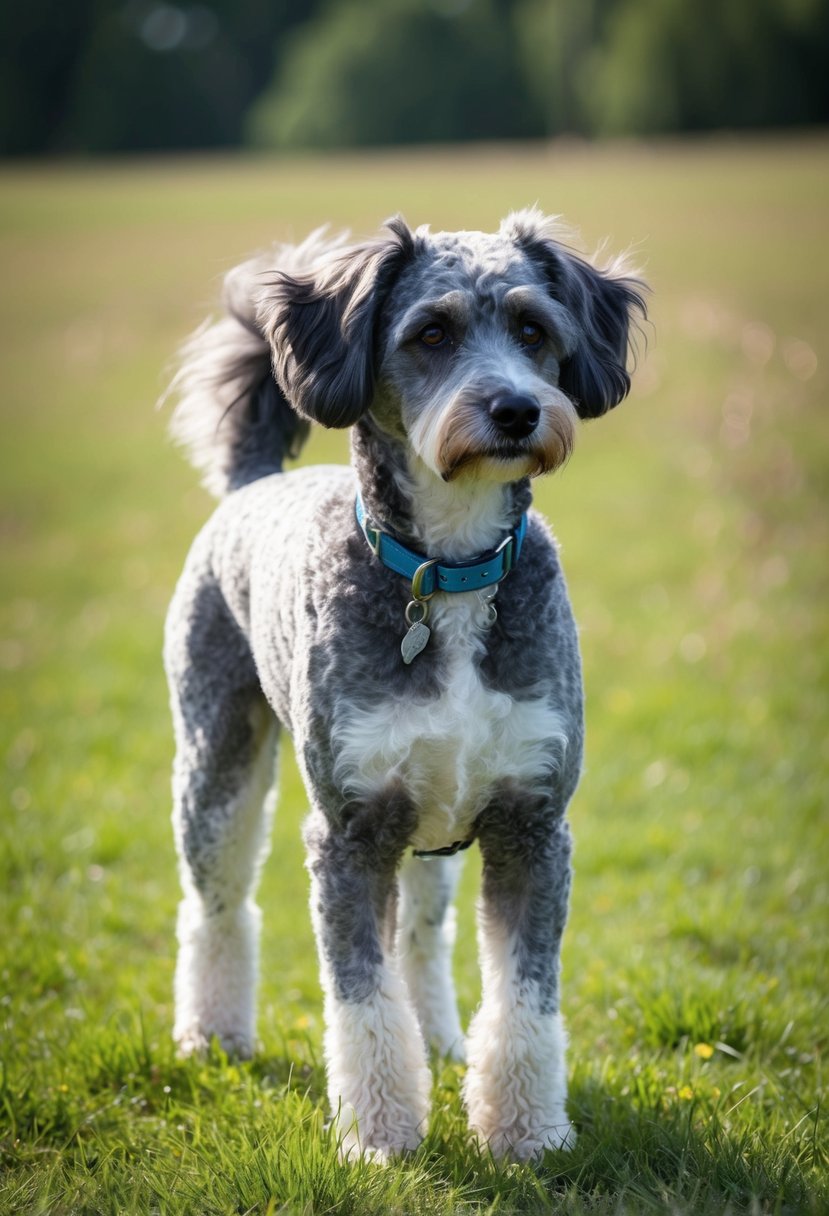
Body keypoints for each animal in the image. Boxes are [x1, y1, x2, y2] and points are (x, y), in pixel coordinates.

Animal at [162, 209, 646, 1157]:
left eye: (533, 330)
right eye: (430, 334)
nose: (516, 409)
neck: (448, 575)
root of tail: (252, 484)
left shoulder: (531, 823)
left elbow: (523, 997)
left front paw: (526, 1133)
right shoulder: (349, 833)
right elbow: (360, 998)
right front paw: (380, 1134)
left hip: (433, 826)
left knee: (421, 935)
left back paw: (438, 1038)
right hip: (218, 758)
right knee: (218, 902)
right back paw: (212, 1035)